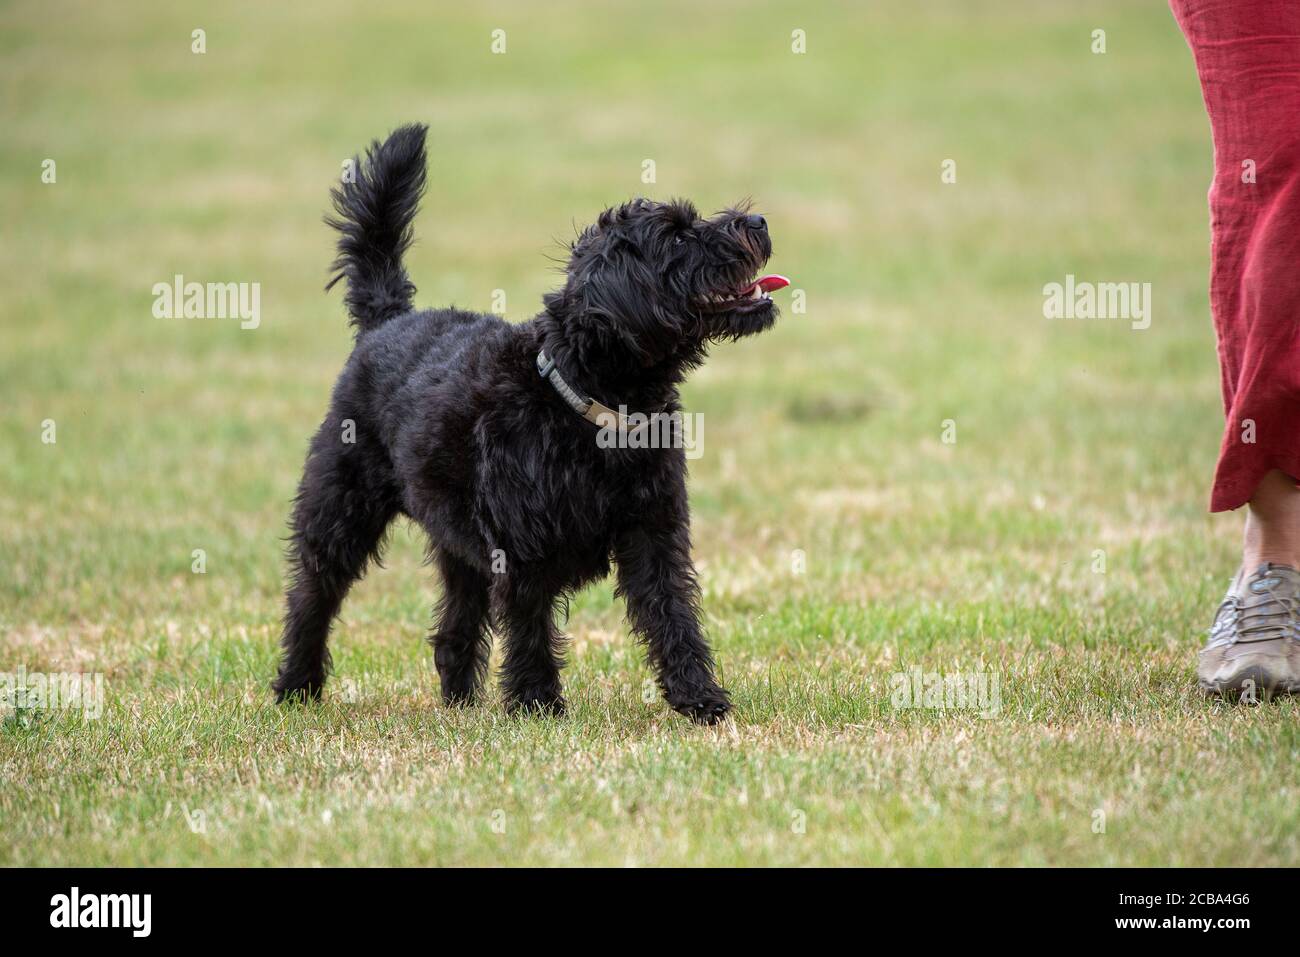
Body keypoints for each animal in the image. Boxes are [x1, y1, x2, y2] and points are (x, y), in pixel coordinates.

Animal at [269, 127, 785, 722]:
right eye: (677, 238)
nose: (759, 220)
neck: (588, 400)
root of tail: (389, 320)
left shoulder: (654, 533)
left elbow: (672, 614)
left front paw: (700, 699)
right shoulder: (521, 552)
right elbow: (530, 627)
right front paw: (537, 705)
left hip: (455, 542)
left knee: (452, 628)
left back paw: (460, 705)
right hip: (339, 511)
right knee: (311, 597)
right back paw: (296, 687)